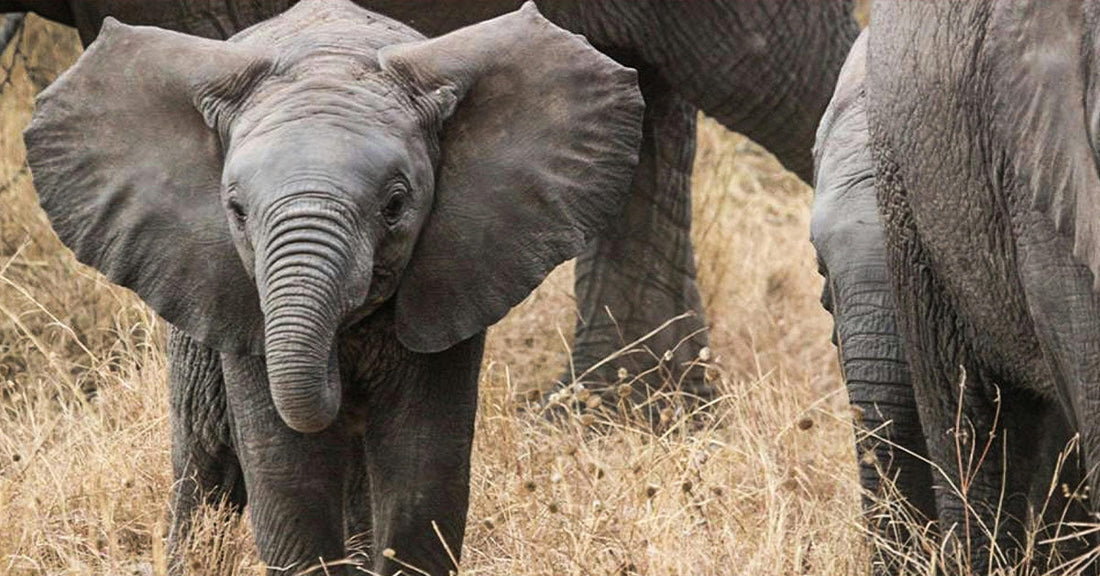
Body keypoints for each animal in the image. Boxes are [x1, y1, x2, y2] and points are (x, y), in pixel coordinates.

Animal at [23, 1, 645, 574]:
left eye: (395, 205)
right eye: (237, 211)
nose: (338, 373)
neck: (330, 59)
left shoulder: (458, 272)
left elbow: (423, 465)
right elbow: (289, 473)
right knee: (206, 466)